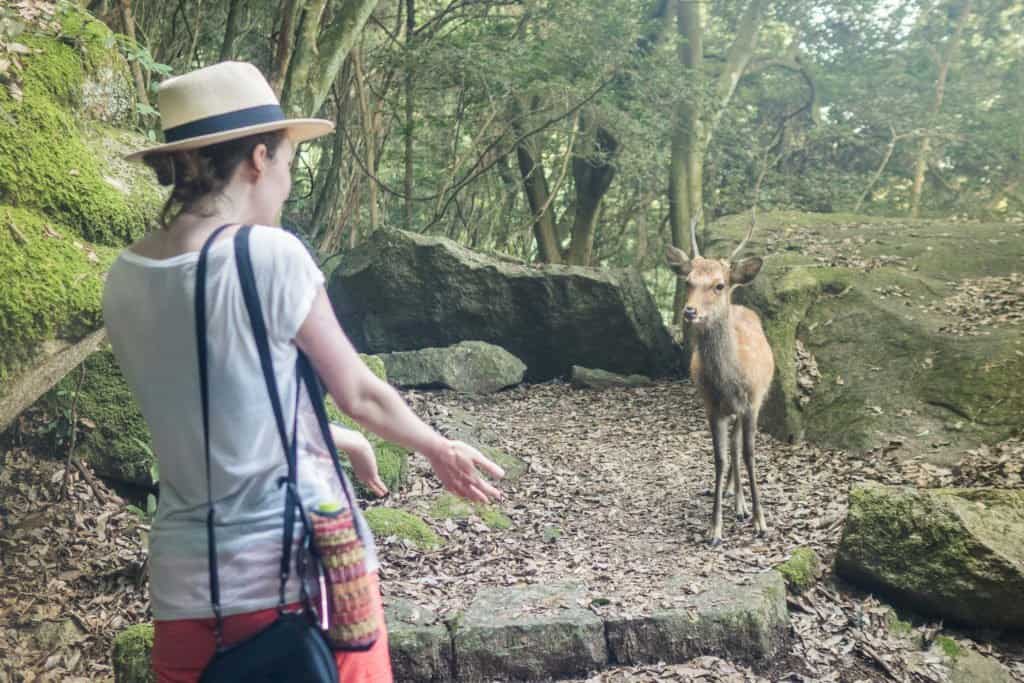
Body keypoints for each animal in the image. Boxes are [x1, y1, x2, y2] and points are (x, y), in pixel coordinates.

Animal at [667, 210, 770, 548]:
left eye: (719, 285)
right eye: (688, 281)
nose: (689, 311)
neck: (730, 383)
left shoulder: (752, 403)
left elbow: (749, 455)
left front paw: (761, 522)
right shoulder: (712, 407)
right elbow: (720, 459)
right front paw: (714, 529)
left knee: (739, 448)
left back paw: (741, 505)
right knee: (732, 449)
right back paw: (731, 497)